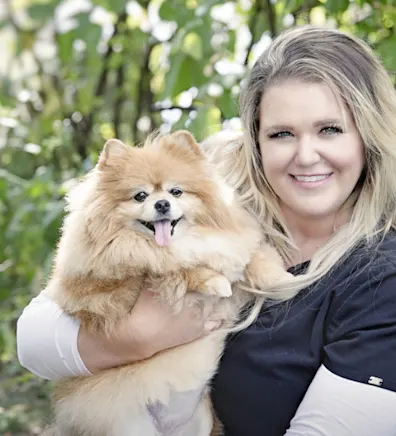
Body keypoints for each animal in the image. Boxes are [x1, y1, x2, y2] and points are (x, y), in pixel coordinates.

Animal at [43, 130, 294, 436]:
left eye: (176, 192)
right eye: (140, 196)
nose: (161, 203)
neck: (178, 244)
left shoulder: (231, 243)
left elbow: (250, 256)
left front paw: (281, 279)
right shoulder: (109, 289)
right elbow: (170, 271)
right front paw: (213, 280)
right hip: (129, 425)